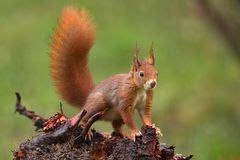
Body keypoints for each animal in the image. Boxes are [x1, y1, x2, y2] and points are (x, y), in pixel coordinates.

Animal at [50, 6, 159, 139]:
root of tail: (87, 98)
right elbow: (128, 118)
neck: (140, 88)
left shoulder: (146, 101)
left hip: (115, 115)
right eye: (141, 74)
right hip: (99, 104)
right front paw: (135, 132)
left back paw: (124, 134)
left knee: (115, 125)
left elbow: (146, 116)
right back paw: (87, 129)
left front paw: (154, 128)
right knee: (85, 117)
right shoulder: (124, 99)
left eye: (157, 73)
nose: (153, 83)